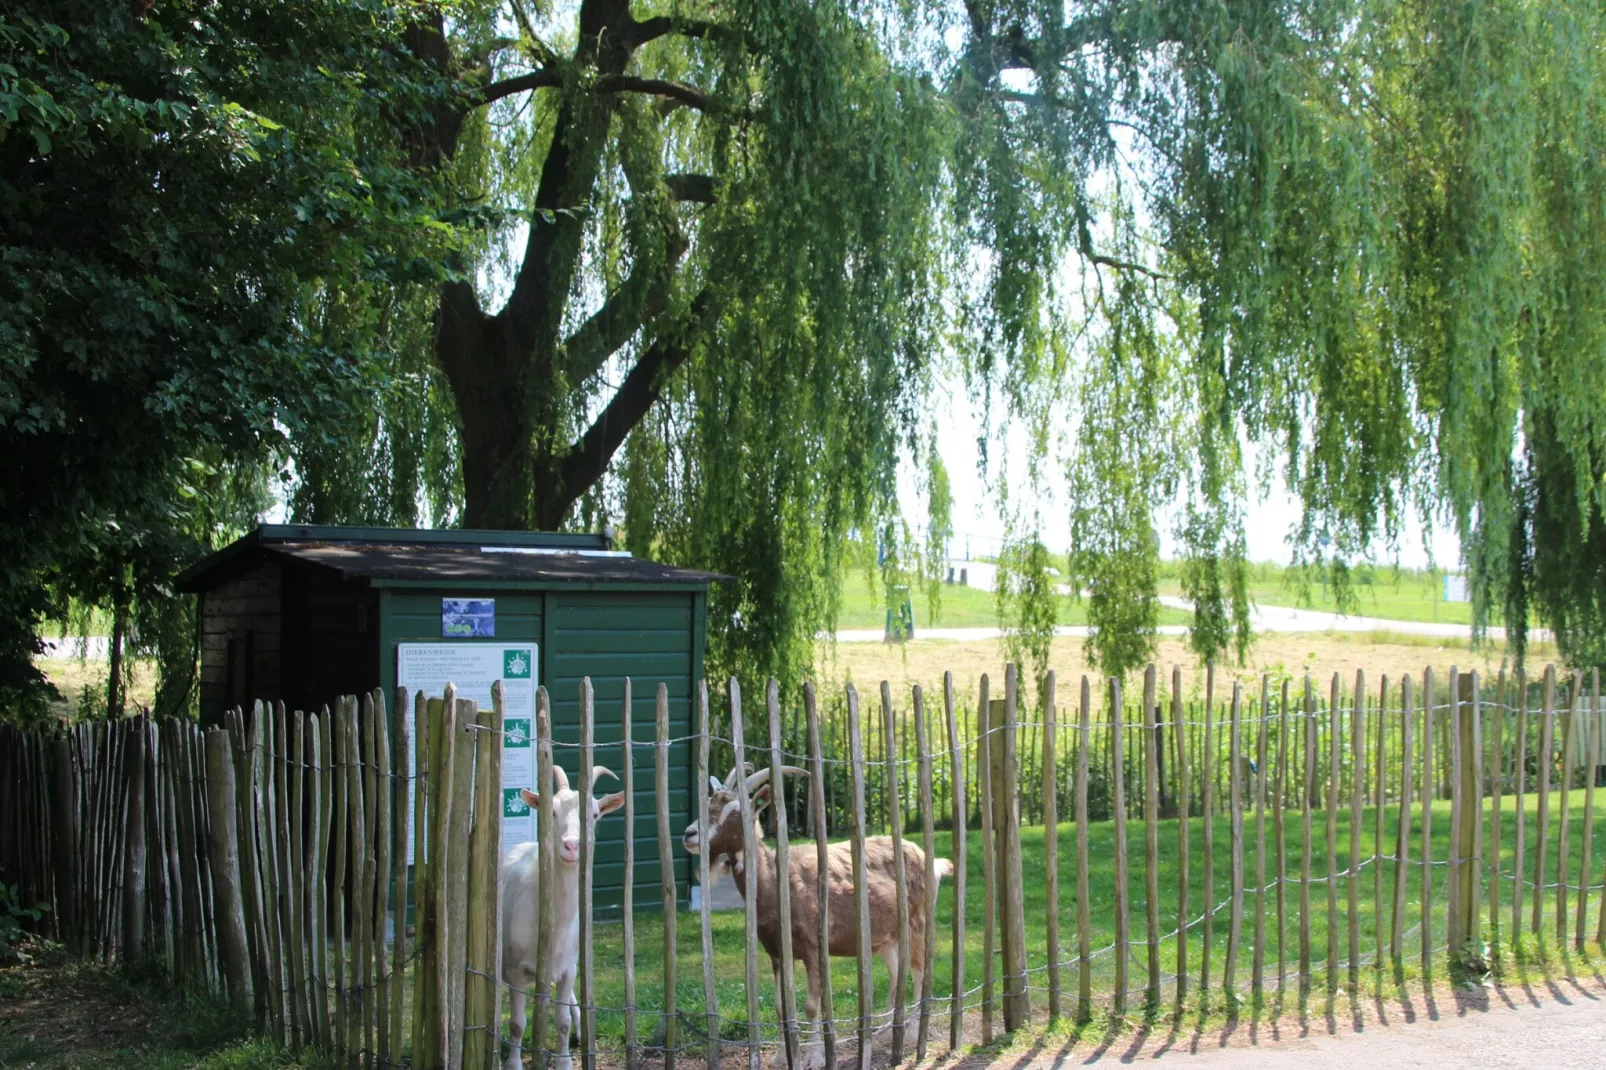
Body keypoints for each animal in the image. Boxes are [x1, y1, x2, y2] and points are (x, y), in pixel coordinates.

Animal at [504, 761, 623, 1066]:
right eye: (553, 811)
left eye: (594, 814)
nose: (571, 846)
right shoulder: (515, 970)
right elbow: (517, 1024)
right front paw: (513, 1064)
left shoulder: (569, 967)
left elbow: (562, 1021)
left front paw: (566, 1061)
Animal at [680, 761, 950, 1053]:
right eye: (708, 803)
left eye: (736, 811)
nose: (689, 834)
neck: (777, 882)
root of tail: (930, 861)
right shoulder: (776, 953)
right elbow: (780, 1007)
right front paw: (781, 1056)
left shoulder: (813, 948)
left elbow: (811, 1006)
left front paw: (817, 1055)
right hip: (887, 937)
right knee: (896, 973)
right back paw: (883, 1031)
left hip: (917, 923)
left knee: (919, 972)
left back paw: (910, 1036)